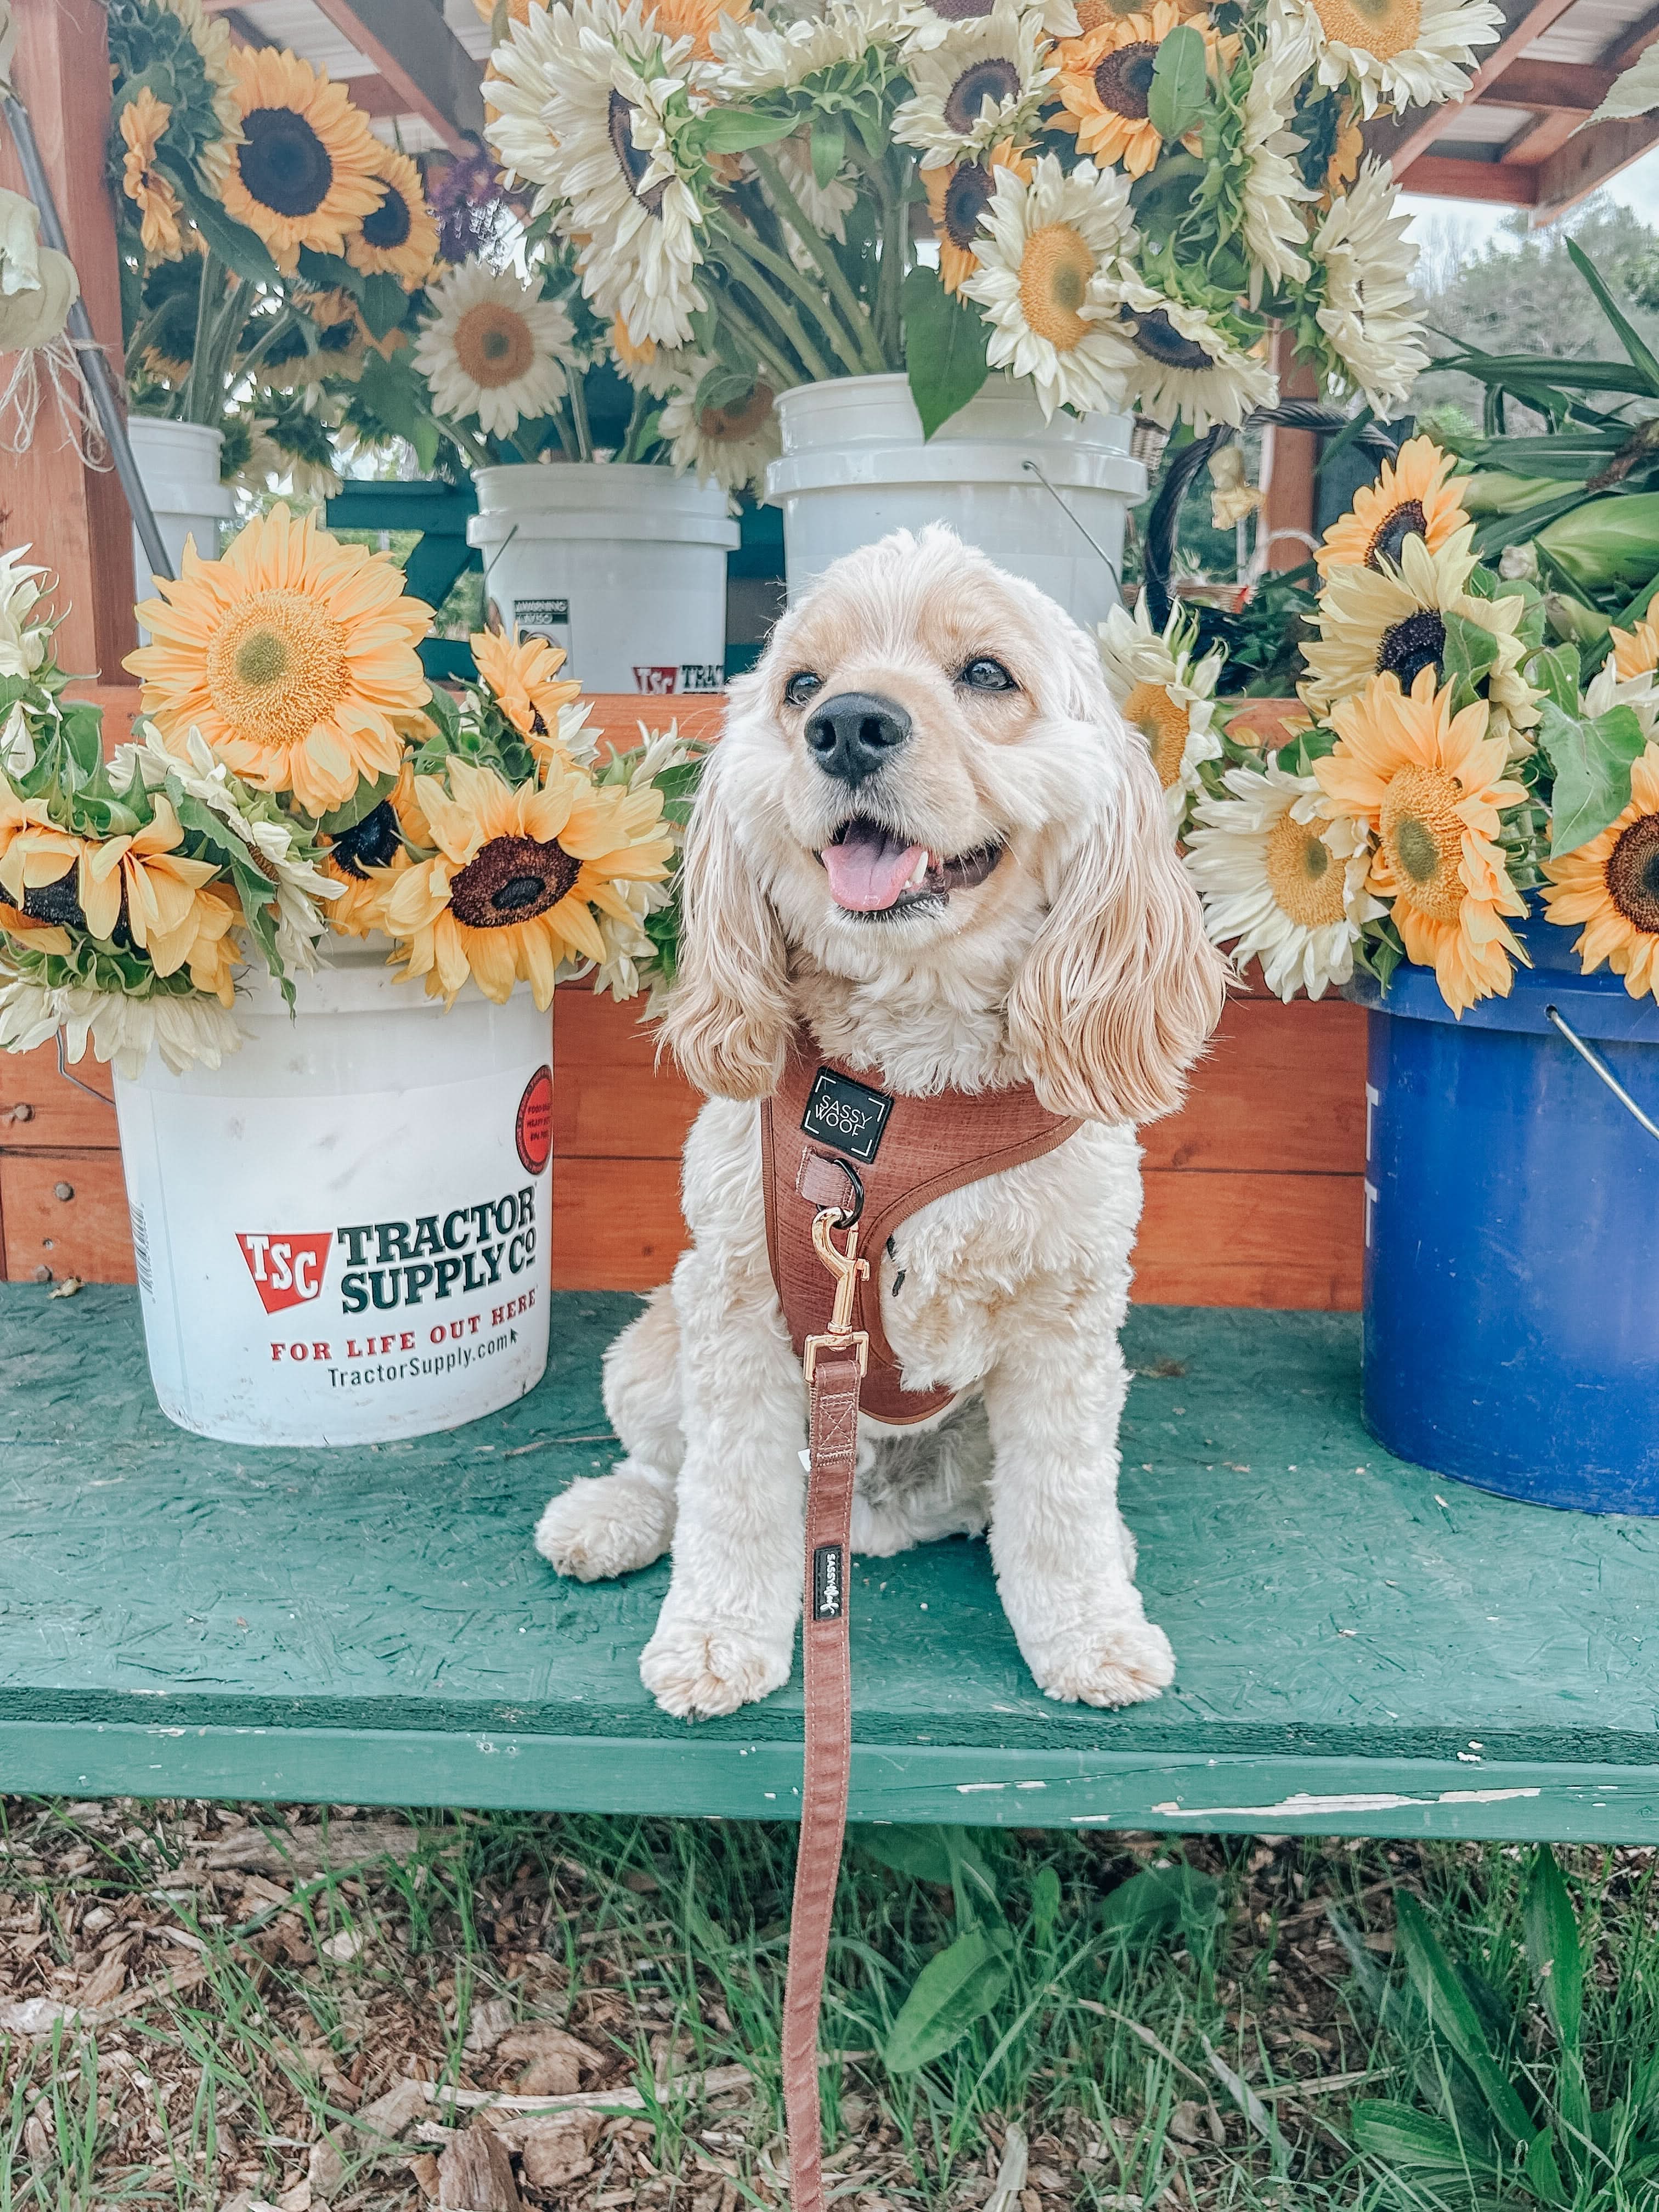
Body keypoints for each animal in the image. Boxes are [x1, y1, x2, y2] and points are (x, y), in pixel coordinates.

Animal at [535, 526, 1228, 1719]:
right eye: (799, 686)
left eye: (987, 673)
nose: (848, 725)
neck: (910, 1084)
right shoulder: (739, 1303)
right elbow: (729, 1499)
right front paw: (713, 1638)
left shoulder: (1065, 1322)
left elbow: (1062, 1506)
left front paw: (1089, 1632)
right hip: (653, 1348)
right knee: (667, 1467)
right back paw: (609, 1517)